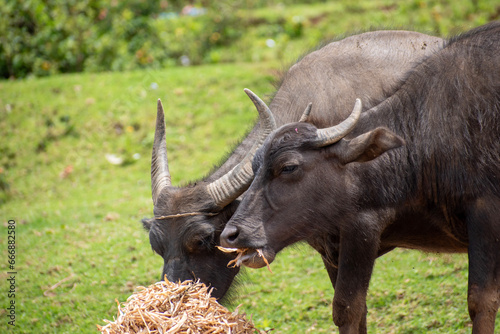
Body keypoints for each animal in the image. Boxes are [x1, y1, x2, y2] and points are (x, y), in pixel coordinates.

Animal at [223, 21, 500, 334]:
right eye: (254, 166)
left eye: (288, 167)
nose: (231, 234)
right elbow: (351, 309)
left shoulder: (483, 213)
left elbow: (481, 301)